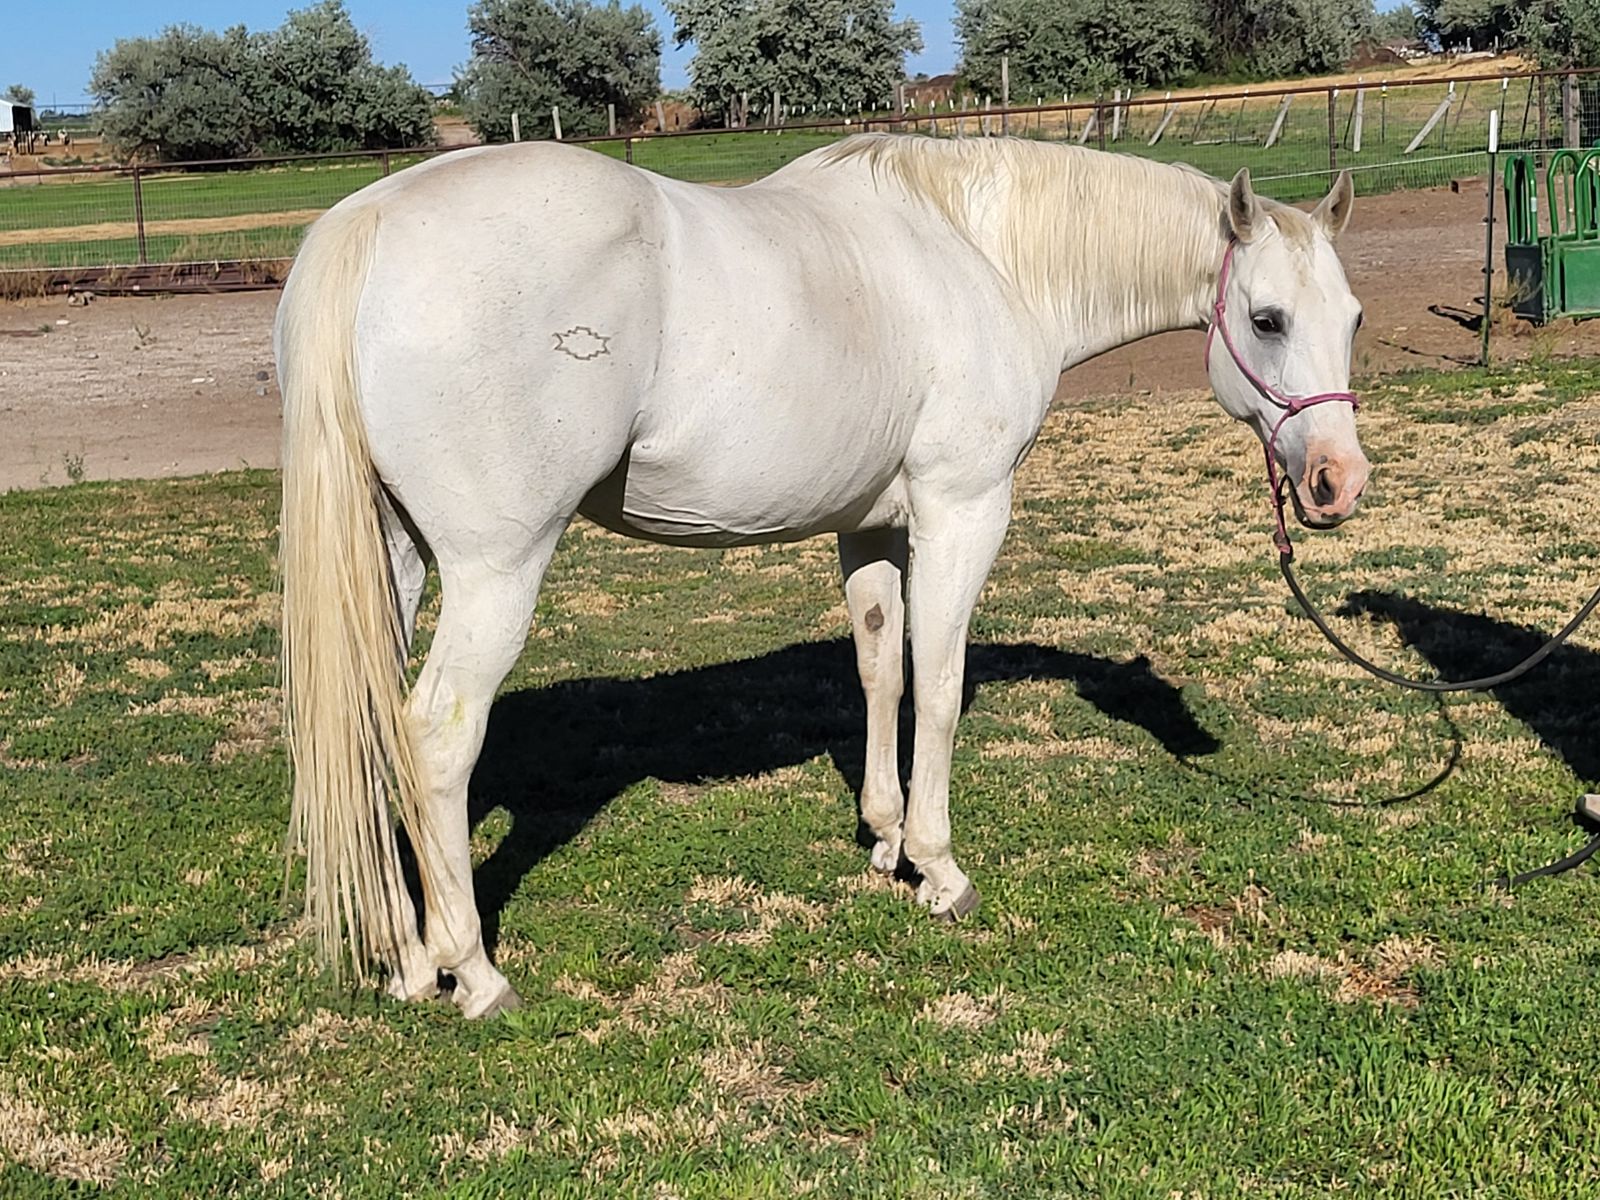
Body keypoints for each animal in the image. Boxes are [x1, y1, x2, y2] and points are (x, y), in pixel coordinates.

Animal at [277, 134, 1369, 1018]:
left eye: (1353, 318)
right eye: (1267, 319)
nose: (1337, 482)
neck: (981, 255)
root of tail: (371, 220)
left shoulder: (870, 528)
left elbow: (880, 672)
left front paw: (885, 842)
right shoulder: (962, 510)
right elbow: (939, 688)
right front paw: (940, 870)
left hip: (395, 561)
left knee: (370, 725)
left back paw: (408, 961)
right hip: (494, 571)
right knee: (435, 737)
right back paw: (472, 973)